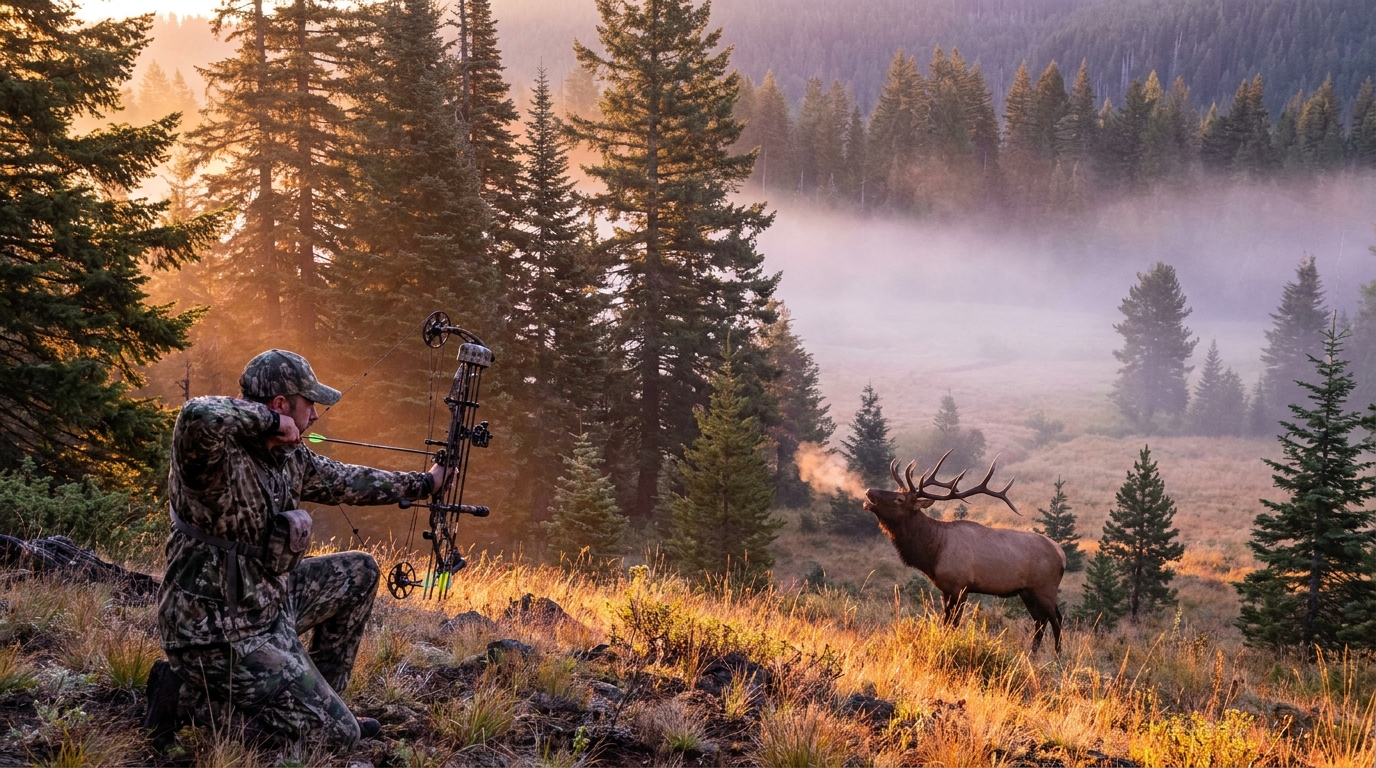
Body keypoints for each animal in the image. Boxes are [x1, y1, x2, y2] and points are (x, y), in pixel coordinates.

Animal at [864, 453, 1066, 653]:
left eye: (899, 499)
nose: (868, 491)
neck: (933, 552)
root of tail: (1061, 554)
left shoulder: (960, 586)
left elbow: (953, 623)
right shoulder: (946, 589)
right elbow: (945, 622)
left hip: (1045, 587)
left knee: (1056, 619)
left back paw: (1057, 654)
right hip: (1027, 591)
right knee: (1040, 620)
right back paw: (1032, 653)